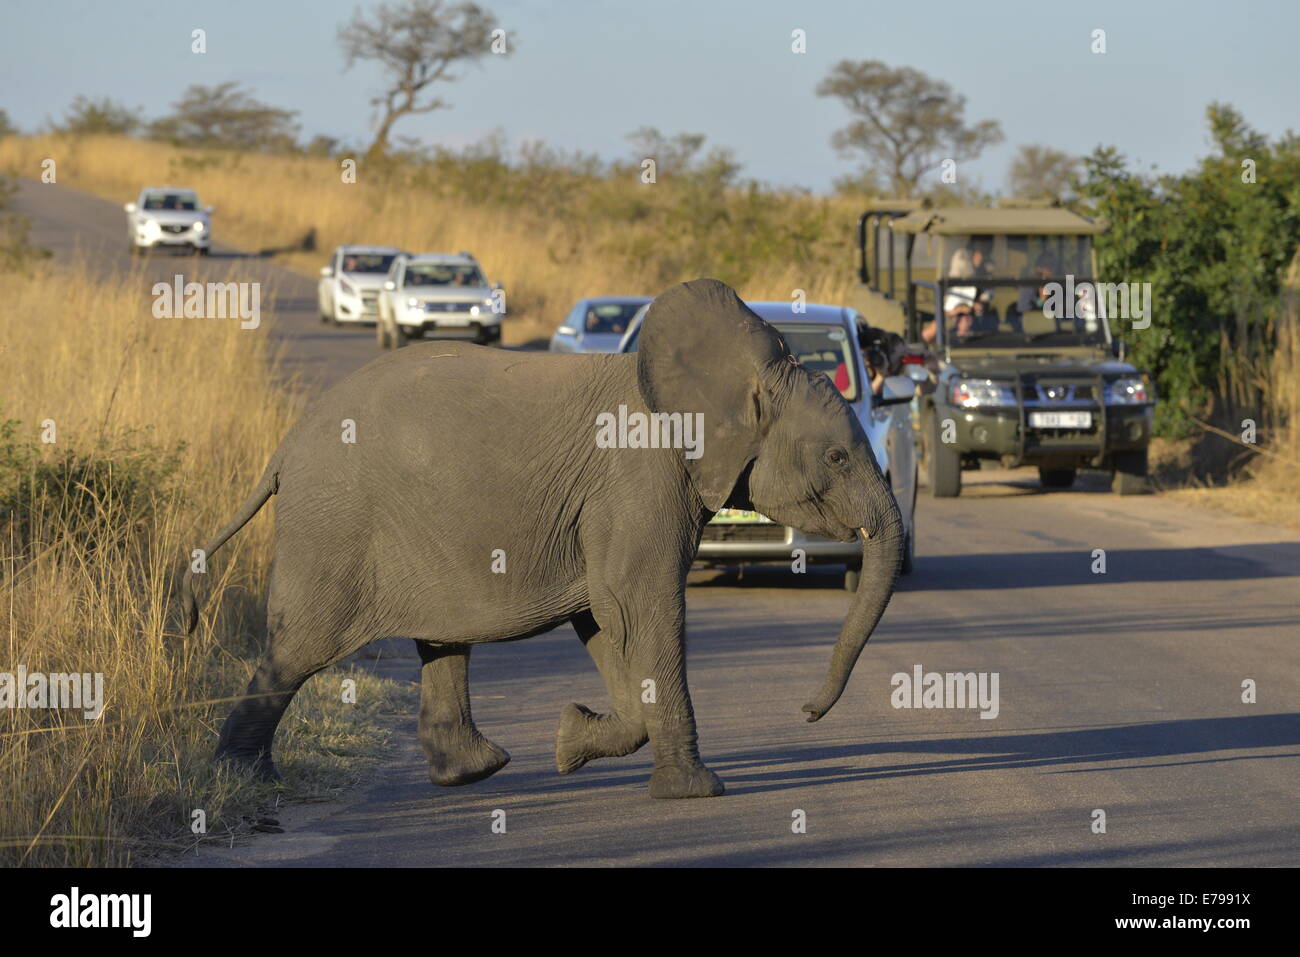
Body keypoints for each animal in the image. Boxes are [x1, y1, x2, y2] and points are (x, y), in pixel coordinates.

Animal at [183, 278, 904, 800]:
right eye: (838, 457)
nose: (807, 711)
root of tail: (284, 449)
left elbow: (607, 618)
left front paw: (568, 740)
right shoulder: (639, 479)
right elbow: (639, 604)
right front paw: (696, 792)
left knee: (441, 640)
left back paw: (474, 770)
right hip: (334, 522)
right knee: (298, 648)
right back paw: (242, 780)